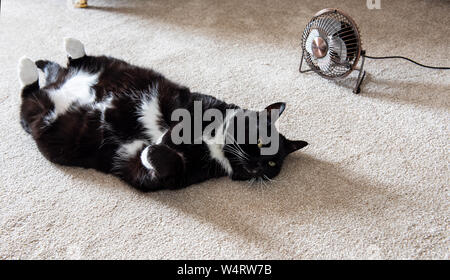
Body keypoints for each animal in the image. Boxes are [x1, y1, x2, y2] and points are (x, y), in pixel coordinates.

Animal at [17, 38, 308, 191]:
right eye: (260, 141)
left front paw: (154, 150)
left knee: (30, 96)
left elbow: (165, 164)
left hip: (44, 119)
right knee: (75, 63)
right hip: (109, 66)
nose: (260, 164)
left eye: (273, 164)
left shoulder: (160, 175)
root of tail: (57, 83)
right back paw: (52, 54)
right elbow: (181, 124)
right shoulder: (193, 102)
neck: (214, 145)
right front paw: (168, 138)